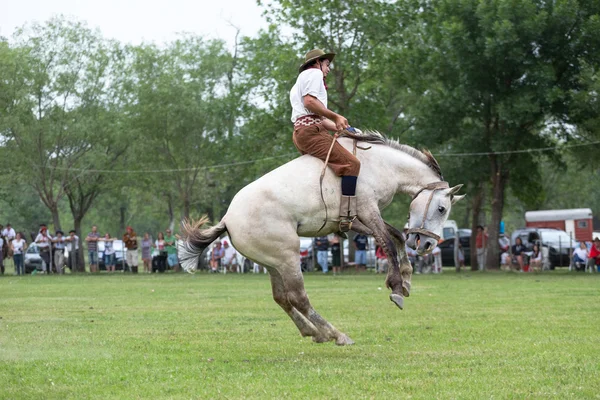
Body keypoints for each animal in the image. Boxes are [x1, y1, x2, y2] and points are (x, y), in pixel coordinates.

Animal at [178, 131, 464, 344]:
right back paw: (334, 334)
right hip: (288, 256)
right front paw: (396, 287)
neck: (380, 164)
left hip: (272, 263)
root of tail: (228, 219)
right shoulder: (367, 209)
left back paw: (312, 331)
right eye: (442, 208)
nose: (427, 244)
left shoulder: (357, 219)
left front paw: (405, 279)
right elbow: (387, 242)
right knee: (298, 297)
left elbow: (395, 237)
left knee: (282, 298)